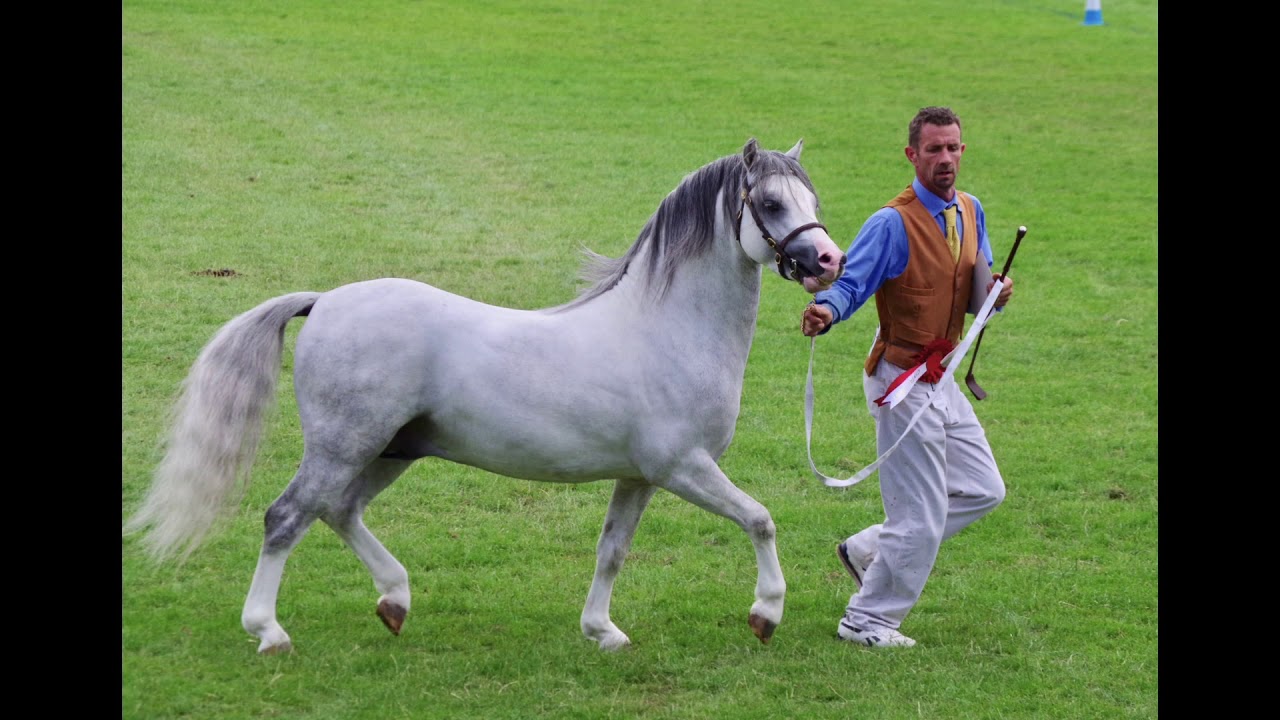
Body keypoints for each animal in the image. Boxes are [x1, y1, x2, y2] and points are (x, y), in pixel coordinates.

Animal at [124, 138, 846, 655]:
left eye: (811, 198)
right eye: (771, 203)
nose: (828, 261)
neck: (667, 328)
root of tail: (324, 300)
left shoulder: (638, 477)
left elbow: (611, 550)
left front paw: (602, 632)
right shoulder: (683, 467)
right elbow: (760, 519)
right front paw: (766, 614)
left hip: (391, 450)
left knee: (338, 510)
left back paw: (395, 602)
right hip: (344, 446)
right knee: (287, 517)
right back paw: (269, 632)